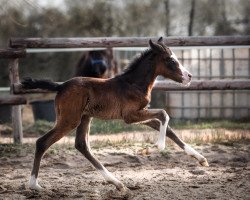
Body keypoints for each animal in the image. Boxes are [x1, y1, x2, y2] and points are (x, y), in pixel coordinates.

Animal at [22, 38, 209, 194]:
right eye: (171, 60)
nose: (189, 77)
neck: (133, 84)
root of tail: (60, 86)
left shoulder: (139, 115)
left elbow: (167, 127)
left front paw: (200, 159)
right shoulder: (130, 116)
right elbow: (164, 114)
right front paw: (159, 146)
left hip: (84, 117)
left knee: (81, 145)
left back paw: (118, 183)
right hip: (70, 120)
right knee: (42, 142)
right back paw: (34, 185)